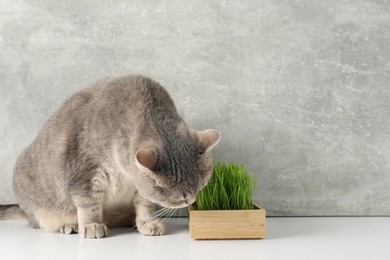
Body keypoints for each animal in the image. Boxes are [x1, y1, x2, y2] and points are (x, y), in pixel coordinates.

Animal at [0, 75, 219, 238]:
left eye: (201, 187)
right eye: (179, 199)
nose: (191, 201)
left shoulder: (138, 187)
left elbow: (145, 205)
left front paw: (147, 222)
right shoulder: (86, 175)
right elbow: (89, 205)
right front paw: (91, 225)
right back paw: (69, 224)